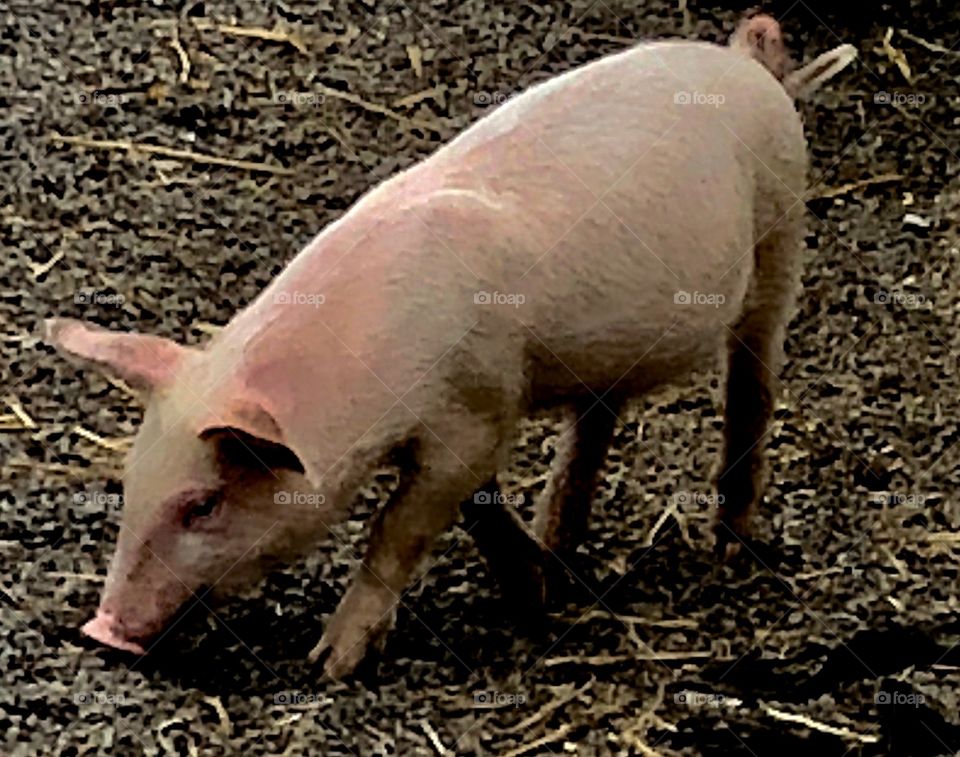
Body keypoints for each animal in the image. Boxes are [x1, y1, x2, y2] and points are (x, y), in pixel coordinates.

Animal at [46, 15, 856, 678]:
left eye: (204, 504)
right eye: (130, 483)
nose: (102, 629)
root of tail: (747, 65)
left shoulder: (473, 413)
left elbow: (399, 527)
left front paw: (329, 664)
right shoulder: (478, 412)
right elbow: (479, 507)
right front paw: (534, 589)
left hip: (780, 236)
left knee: (753, 386)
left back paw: (729, 547)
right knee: (595, 422)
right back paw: (560, 548)